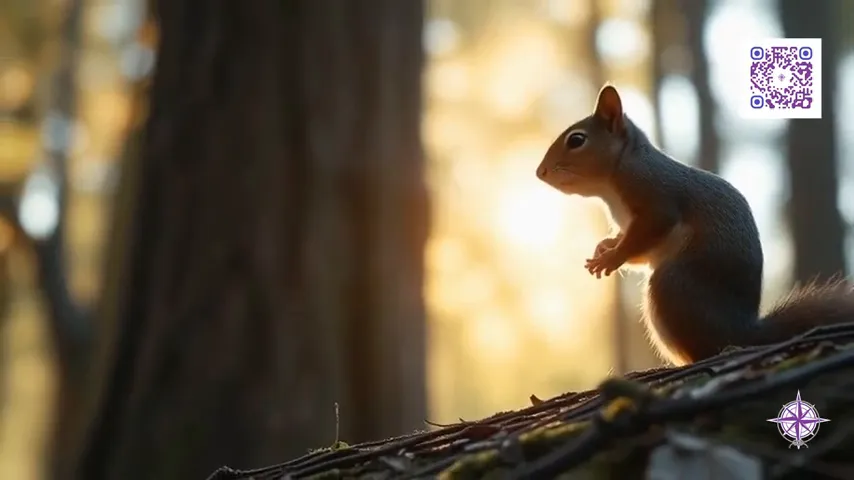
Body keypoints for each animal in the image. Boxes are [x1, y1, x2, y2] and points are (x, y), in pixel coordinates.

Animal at [535, 83, 854, 366]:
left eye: (576, 140)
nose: (540, 172)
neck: (611, 185)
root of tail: (744, 331)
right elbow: (636, 248)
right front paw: (605, 247)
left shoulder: (656, 197)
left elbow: (649, 230)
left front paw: (611, 258)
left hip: (671, 285)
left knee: (706, 348)